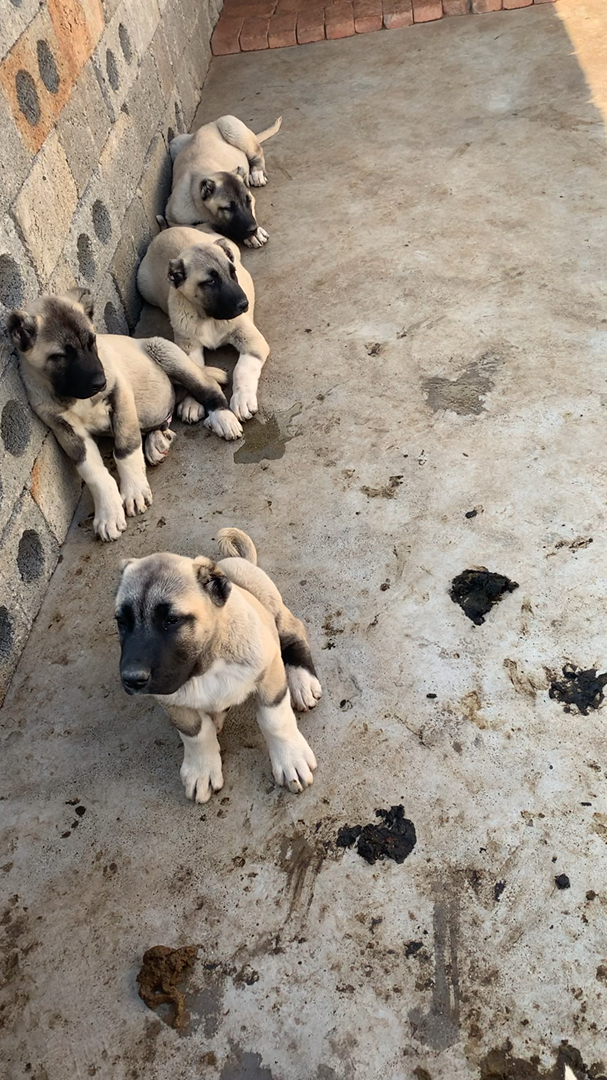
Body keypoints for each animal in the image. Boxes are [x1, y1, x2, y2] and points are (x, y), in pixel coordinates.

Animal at [6, 289, 240, 540]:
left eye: (92, 342)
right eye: (61, 355)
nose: (100, 382)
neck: (73, 395)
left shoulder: (120, 394)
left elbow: (125, 449)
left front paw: (134, 490)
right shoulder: (65, 429)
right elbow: (92, 472)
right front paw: (108, 512)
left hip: (164, 351)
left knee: (205, 387)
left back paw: (222, 417)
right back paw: (156, 442)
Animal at [114, 524, 321, 803]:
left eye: (172, 620)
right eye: (121, 621)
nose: (132, 679)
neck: (206, 665)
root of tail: (237, 562)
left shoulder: (269, 673)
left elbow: (275, 720)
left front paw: (290, 758)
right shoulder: (172, 701)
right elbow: (196, 734)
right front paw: (202, 769)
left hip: (272, 607)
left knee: (293, 632)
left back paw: (302, 682)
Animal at [139, 226, 268, 421]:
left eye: (233, 273)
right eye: (211, 281)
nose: (244, 304)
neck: (209, 318)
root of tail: (168, 229)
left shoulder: (251, 340)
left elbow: (242, 369)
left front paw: (242, 399)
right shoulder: (188, 346)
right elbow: (195, 373)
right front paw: (191, 404)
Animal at [163, 113, 280, 248]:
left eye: (248, 201)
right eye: (228, 208)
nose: (253, 230)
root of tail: (209, 124)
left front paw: (255, 235)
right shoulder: (172, 218)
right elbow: (194, 227)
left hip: (230, 124)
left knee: (257, 152)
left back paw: (257, 174)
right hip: (174, 142)